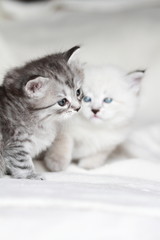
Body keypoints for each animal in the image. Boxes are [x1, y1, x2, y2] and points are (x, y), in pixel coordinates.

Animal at [0, 46, 83, 179]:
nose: (78, 108)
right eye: (62, 102)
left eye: (78, 92)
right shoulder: (15, 145)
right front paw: (32, 176)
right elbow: (22, 164)